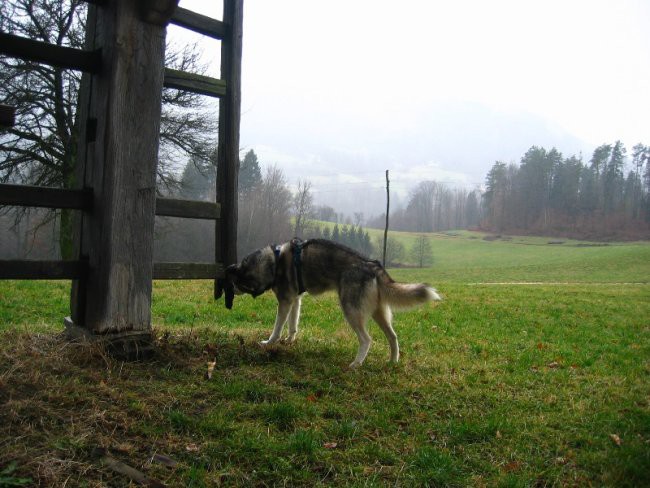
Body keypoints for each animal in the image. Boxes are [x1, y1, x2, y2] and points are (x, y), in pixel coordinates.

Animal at [223, 238, 440, 368]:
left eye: (236, 282)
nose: (231, 290)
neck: (274, 262)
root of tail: (372, 265)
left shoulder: (285, 301)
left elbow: (277, 328)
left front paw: (269, 343)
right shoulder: (295, 300)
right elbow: (293, 325)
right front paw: (290, 341)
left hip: (351, 311)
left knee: (366, 339)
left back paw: (356, 364)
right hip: (379, 314)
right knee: (393, 337)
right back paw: (393, 361)